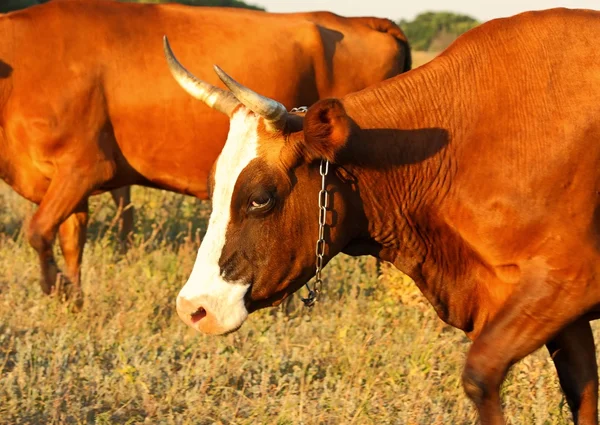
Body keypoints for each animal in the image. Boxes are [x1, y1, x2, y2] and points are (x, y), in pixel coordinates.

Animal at [0, 0, 410, 304]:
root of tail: (365, 20)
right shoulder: (66, 180)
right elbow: (71, 241)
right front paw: (72, 298)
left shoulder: (85, 168)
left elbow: (38, 231)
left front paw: (53, 288)